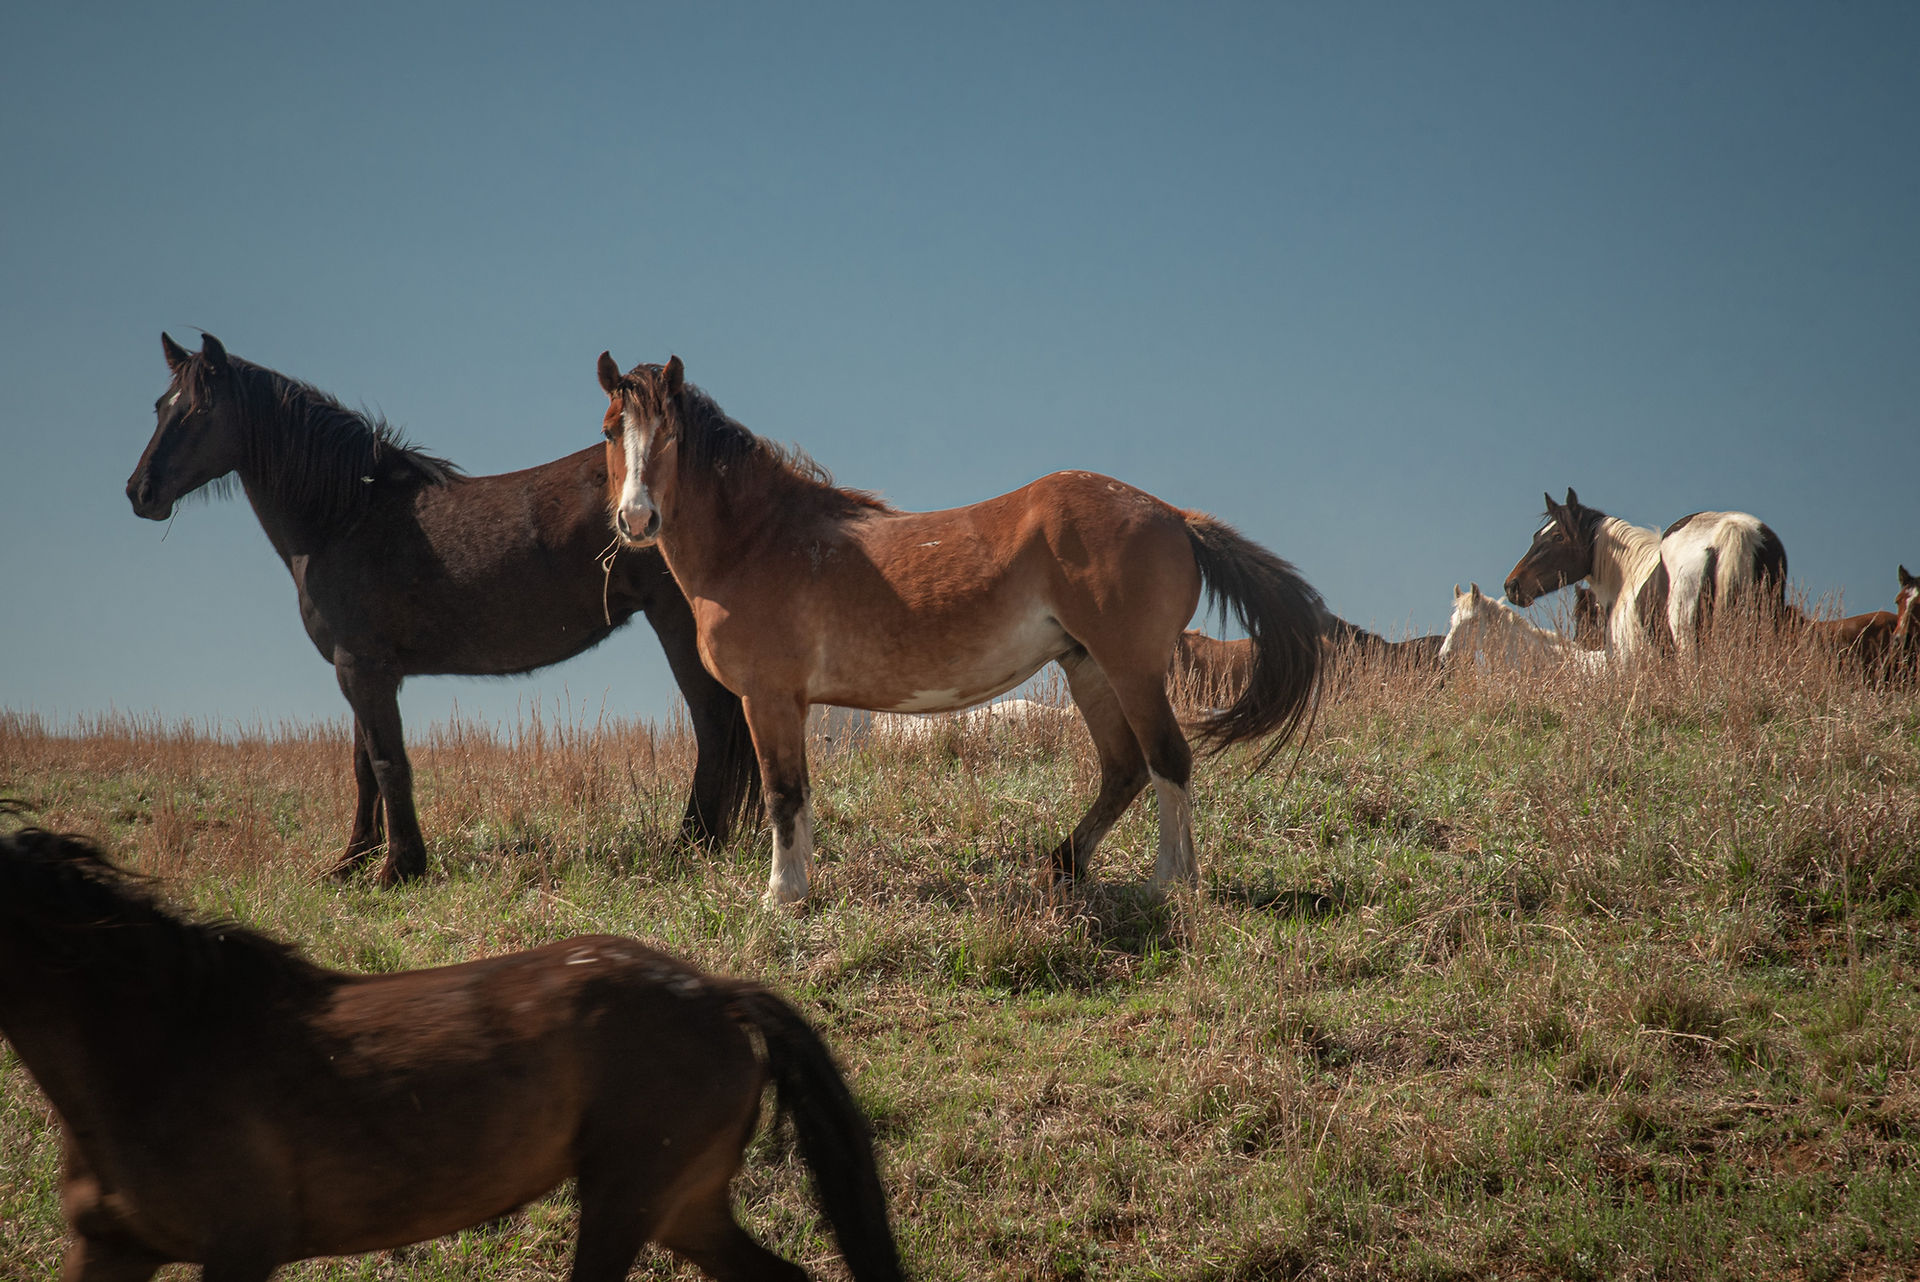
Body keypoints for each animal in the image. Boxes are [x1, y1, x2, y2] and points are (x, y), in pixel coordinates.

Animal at [0, 824, 904, 1282]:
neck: (156, 1047)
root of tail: (720, 992)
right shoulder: (109, 1247)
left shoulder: (241, 1246)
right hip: (685, 1203)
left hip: (632, 1193)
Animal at [127, 334, 758, 885]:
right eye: (160, 406)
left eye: (200, 409)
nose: (140, 492)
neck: (346, 516)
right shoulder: (360, 667)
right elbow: (363, 765)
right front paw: (350, 863)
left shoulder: (362, 668)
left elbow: (388, 763)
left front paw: (398, 868)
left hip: (677, 625)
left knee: (713, 723)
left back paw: (692, 842)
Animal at [595, 353, 1325, 905]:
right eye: (609, 431)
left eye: (670, 435)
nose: (637, 519)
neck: (759, 541)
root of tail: (1174, 515)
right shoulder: (788, 704)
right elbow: (797, 794)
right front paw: (799, 885)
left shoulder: (769, 698)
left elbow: (783, 793)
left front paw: (783, 895)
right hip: (1087, 668)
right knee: (1125, 769)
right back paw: (1063, 865)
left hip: (1131, 670)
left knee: (1168, 759)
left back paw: (1170, 882)